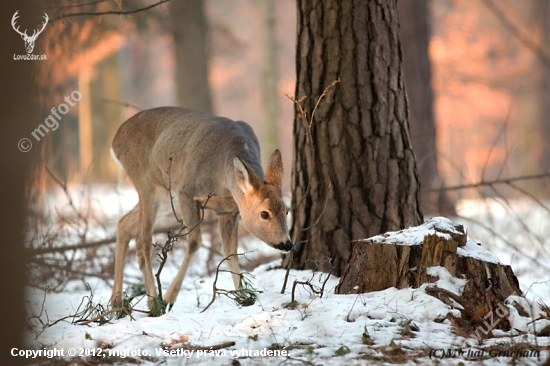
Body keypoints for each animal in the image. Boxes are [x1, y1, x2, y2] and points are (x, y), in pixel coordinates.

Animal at [109, 107, 296, 310]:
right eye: (264, 214)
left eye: (286, 210)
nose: (287, 244)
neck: (221, 179)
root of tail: (115, 140)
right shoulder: (186, 191)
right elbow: (194, 242)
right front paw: (169, 297)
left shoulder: (229, 211)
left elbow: (231, 253)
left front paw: (243, 298)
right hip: (147, 183)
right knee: (142, 240)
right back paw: (154, 303)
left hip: (166, 196)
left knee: (123, 223)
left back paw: (116, 302)